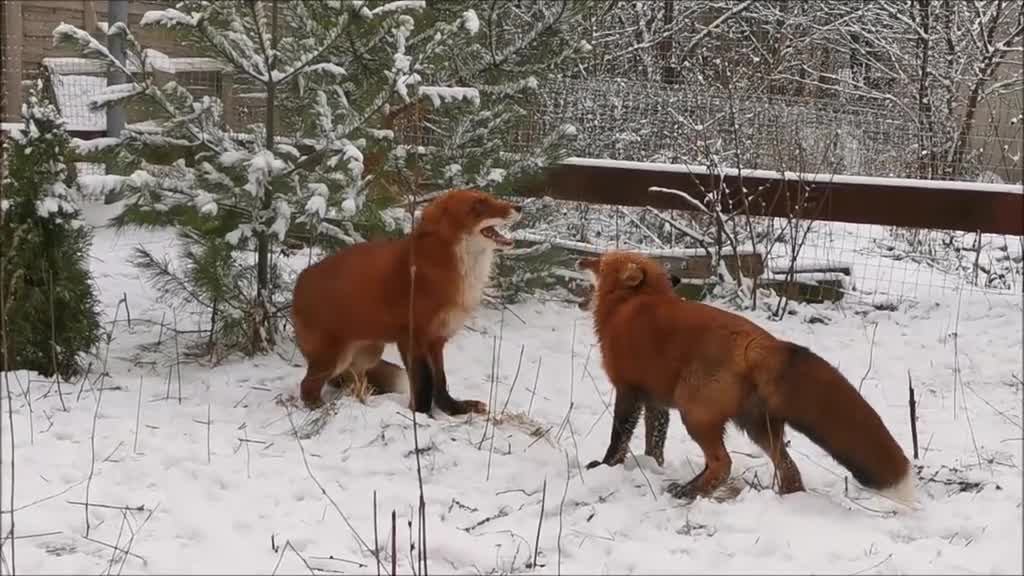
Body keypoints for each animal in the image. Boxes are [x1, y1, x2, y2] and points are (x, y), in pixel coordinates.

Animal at [292, 188, 524, 412]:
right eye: (478, 204)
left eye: (491, 198)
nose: (519, 207)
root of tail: (301, 278)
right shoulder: (412, 336)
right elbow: (423, 382)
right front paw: (420, 414)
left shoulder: (437, 338)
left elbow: (440, 381)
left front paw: (453, 409)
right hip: (333, 357)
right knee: (307, 385)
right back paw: (319, 408)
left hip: (369, 354)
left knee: (353, 381)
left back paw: (361, 403)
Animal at [577, 249, 921, 504]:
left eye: (602, 260)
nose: (580, 260)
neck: (628, 306)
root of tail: (761, 342)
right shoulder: (657, 402)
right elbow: (655, 444)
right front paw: (653, 466)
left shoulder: (628, 390)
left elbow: (618, 438)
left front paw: (605, 466)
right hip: (757, 428)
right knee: (789, 469)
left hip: (697, 414)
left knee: (723, 463)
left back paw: (688, 492)